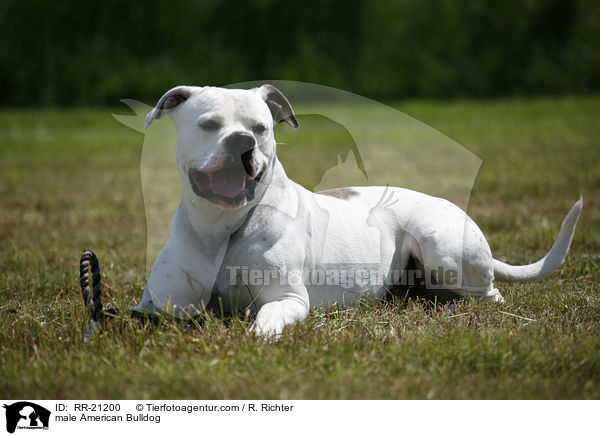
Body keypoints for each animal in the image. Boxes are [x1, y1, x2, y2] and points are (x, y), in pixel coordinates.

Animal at [136, 85, 580, 338]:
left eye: (260, 128)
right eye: (209, 124)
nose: (242, 141)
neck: (222, 228)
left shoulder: (288, 299)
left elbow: (265, 320)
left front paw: (258, 334)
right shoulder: (159, 303)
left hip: (441, 246)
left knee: (489, 296)